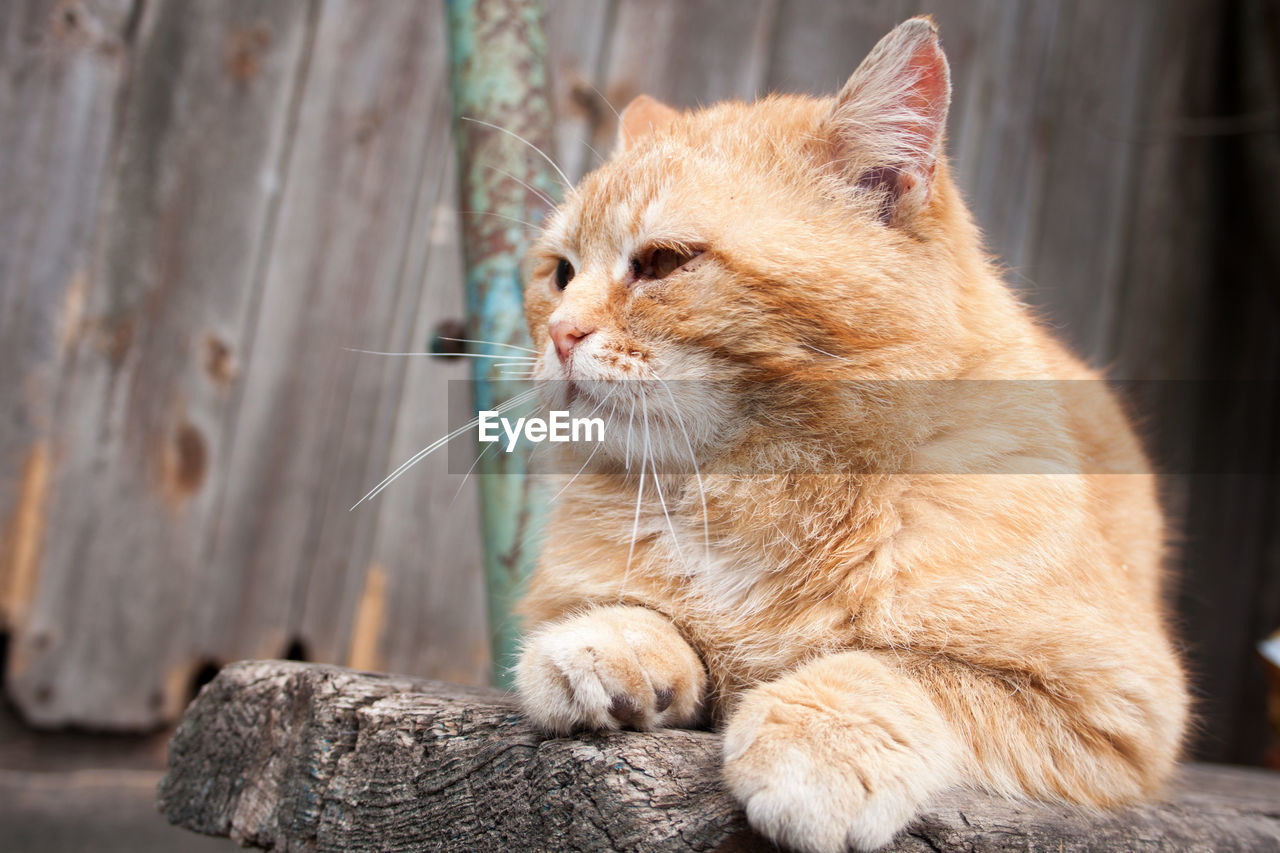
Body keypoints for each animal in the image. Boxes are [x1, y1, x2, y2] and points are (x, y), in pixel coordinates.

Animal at [509, 16, 1187, 845]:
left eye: (662, 262)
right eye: (560, 274)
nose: (561, 334)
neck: (746, 490)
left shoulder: (1116, 704)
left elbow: (899, 667)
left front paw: (819, 743)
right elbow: (647, 617)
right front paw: (609, 645)